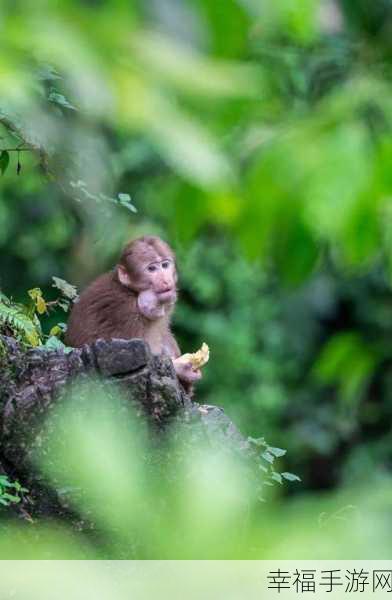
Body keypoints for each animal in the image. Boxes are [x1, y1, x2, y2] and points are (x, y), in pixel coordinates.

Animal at [65, 234, 201, 390]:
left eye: (165, 265)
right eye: (151, 269)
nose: (166, 281)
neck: (133, 293)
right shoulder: (124, 312)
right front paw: (183, 369)